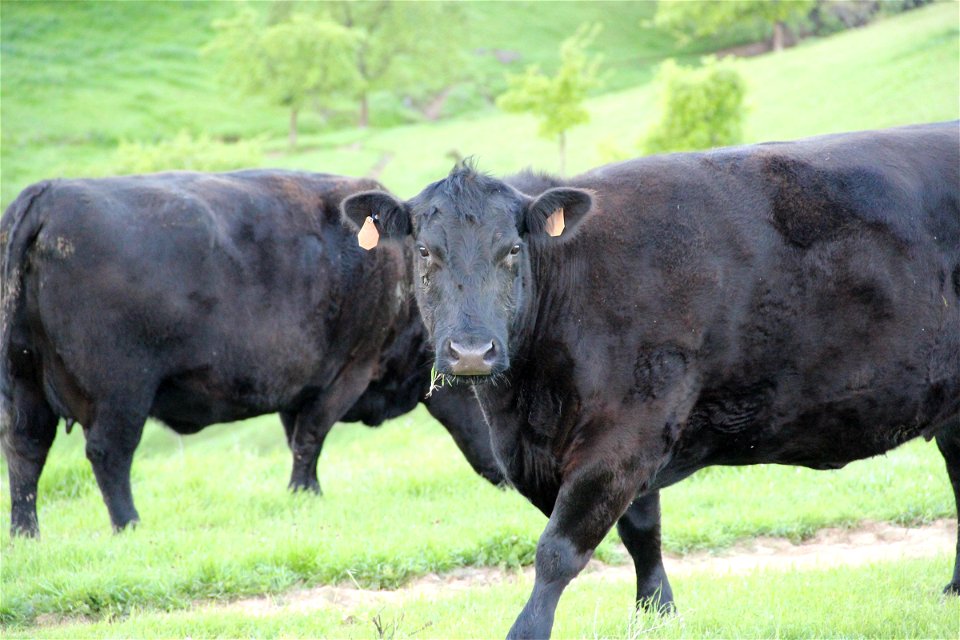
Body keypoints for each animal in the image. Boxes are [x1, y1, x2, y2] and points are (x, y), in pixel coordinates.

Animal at [0, 169, 506, 536]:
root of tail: (46, 194)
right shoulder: (346, 372)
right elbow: (310, 439)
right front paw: (306, 495)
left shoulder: (298, 385)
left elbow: (298, 439)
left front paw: (302, 495)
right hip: (121, 391)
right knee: (108, 454)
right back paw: (129, 525)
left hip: (24, 383)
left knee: (25, 451)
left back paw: (27, 534)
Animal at [344, 121, 960, 640]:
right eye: (426, 251)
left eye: (513, 250)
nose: (471, 350)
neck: (526, 411)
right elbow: (642, 533)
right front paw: (659, 614)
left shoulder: (628, 431)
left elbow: (558, 550)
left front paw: (527, 631)